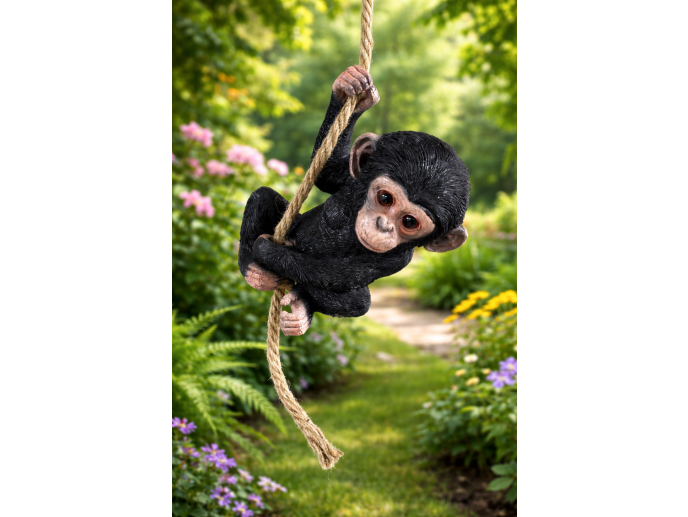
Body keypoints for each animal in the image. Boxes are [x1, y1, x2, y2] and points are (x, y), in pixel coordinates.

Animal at [239, 65, 470, 336]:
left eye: (410, 222)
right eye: (385, 198)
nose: (383, 225)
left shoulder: (397, 260)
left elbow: (340, 274)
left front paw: (268, 249)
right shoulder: (351, 180)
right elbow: (327, 174)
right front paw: (352, 91)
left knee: (357, 300)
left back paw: (301, 306)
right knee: (262, 196)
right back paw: (254, 272)